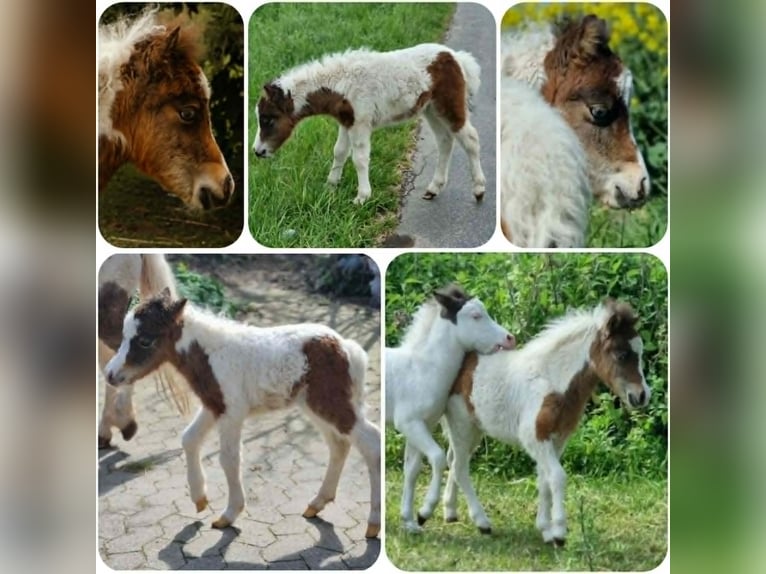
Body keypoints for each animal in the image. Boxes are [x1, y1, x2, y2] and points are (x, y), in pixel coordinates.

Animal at [104, 288, 382, 538]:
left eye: (145, 340)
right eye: (125, 335)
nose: (110, 375)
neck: (210, 355)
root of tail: (348, 347)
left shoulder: (232, 412)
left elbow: (229, 459)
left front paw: (229, 515)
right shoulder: (214, 406)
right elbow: (189, 439)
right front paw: (199, 499)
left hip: (331, 402)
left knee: (372, 442)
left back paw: (373, 525)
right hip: (315, 406)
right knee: (339, 445)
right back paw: (317, 503)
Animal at [252, 44, 486, 204]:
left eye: (267, 119)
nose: (258, 151)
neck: (340, 86)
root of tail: (456, 56)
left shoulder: (360, 123)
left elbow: (360, 159)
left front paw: (362, 197)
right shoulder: (347, 122)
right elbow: (339, 151)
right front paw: (330, 186)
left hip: (448, 104)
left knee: (470, 139)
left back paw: (478, 190)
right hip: (430, 109)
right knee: (445, 141)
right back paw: (434, 188)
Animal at [385, 284, 516, 533]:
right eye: (475, 316)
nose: (510, 338)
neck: (421, 370)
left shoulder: (421, 425)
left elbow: (412, 470)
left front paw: (409, 522)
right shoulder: (409, 423)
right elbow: (437, 458)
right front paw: (424, 512)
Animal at [439, 299, 652, 545]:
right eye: (621, 354)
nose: (642, 396)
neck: (551, 381)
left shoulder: (557, 440)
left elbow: (544, 480)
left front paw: (545, 530)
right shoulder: (535, 438)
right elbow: (557, 477)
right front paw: (559, 533)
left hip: (473, 429)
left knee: (453, 459)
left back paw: (450, 511)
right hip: (461, 424)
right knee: (459, 466)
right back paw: (482, 522)